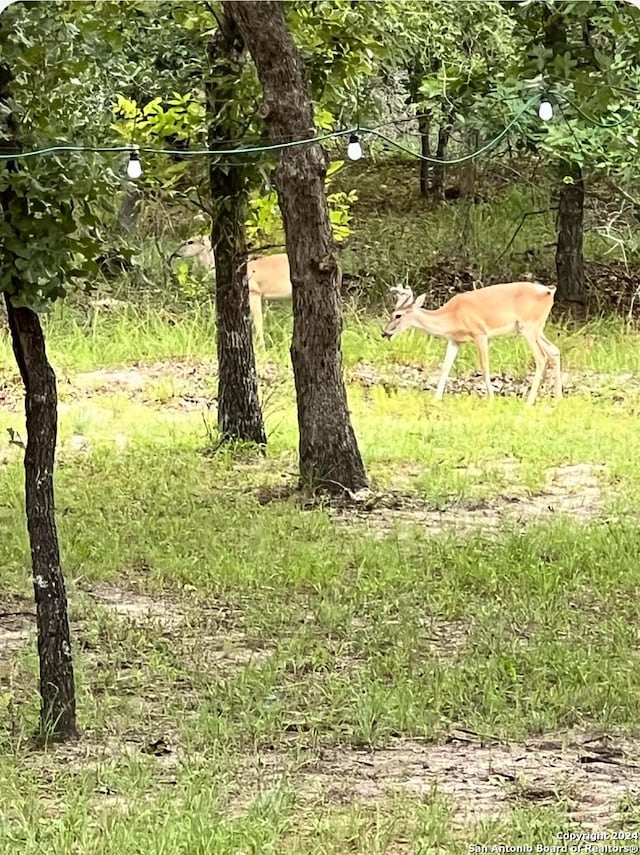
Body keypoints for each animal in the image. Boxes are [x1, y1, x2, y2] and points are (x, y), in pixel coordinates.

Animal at [382, 278, 564, 404]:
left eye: (397, 315)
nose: (384, 333)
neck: (451, 317)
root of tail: (549, 291)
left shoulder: (480, 333)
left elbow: (484, 366)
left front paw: (491, 398)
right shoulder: (455, 340)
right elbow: (445, 366)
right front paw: (436, 398)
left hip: (529, 326)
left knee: (541, 357)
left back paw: (529, 401)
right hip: (537, 328)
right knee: (554, 351)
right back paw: (558, 398)